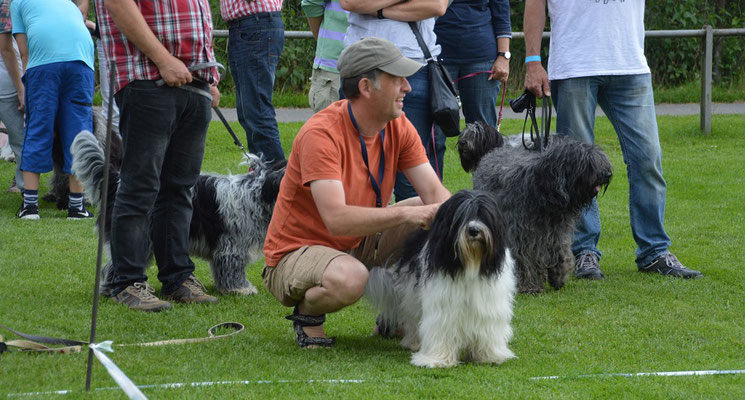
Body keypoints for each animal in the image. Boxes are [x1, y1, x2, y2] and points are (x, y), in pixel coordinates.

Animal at [70, 130, 284, 296]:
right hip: (141, 236)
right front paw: (240, 288)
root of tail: (117, 182)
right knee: (116, 265)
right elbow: (233, 268)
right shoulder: (232, 246)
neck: (257, 194)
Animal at [366, 191, 516, 368]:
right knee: (413, 317)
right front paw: (437, 359)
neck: (470, 263)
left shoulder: (488, 303)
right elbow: (442, 327)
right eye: (461, 217)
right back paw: (414, 342)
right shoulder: (443, 303)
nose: (473, 230)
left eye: (484, 215)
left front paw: (488, 355)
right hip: (412, 293)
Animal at [456, 122, 612, 294]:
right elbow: (525, 259)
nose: (607, 174)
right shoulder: (522, 234)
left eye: (599, 160)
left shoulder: (557, 233)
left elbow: (561, 252)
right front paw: (530, 286)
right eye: (587, 162)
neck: (544, 190)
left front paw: (559, 276)